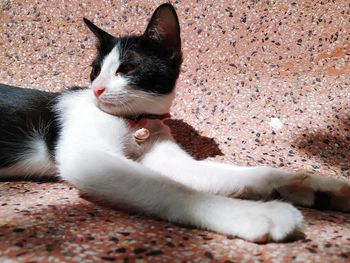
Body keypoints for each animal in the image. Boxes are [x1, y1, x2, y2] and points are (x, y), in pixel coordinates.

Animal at [0, 3, 348, 244]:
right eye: (95, 70)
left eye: (127, 68)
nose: (97, 89)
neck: (135, 122)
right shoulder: (87, 158)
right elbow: (170, 187)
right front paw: (257, 213)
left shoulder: (169, 156)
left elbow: (241, 173)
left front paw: (321, 186)